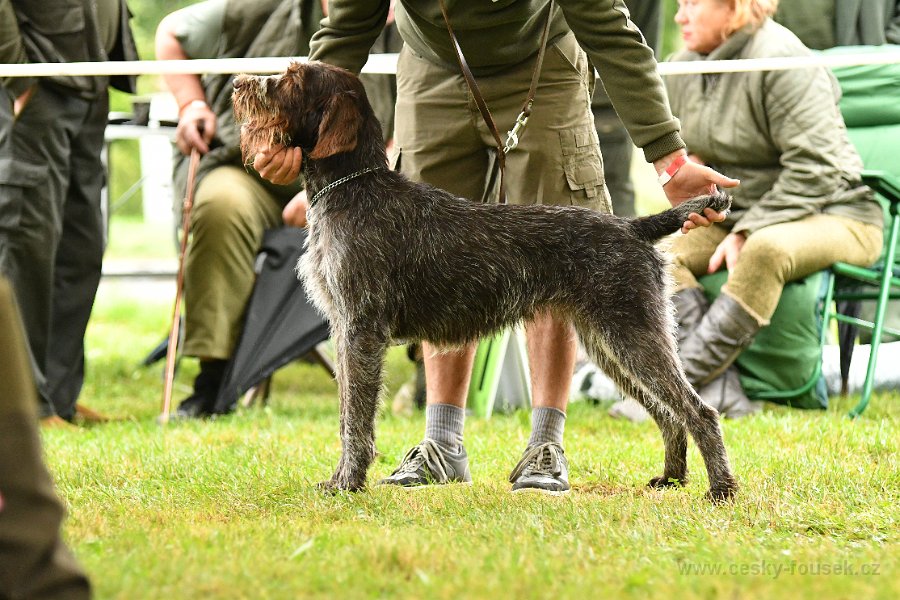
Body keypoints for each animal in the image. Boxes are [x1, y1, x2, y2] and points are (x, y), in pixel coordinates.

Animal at [232, 61, 740, 502]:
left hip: (632, 336)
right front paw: (342, 479)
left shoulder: (360, 330)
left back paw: (721, 489)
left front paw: (348, 483)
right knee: (669, 414)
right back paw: (671, 479)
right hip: (609, 345)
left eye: (292, 79)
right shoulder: (344, 332)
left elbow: (355, 421)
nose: (237, 82)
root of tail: (634, 227)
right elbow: (345, 414)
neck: (352, 187)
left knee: (698, 411)